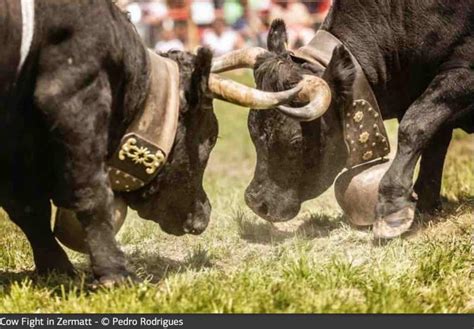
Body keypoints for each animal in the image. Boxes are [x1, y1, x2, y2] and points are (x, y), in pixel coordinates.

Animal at [243, 1, 472, 238]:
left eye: (296, 142)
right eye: (252, 129)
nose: (256, 203)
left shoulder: (462, 74)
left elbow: (413, 125)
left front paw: (392, 206)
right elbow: (433, 143)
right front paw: (425, 204)